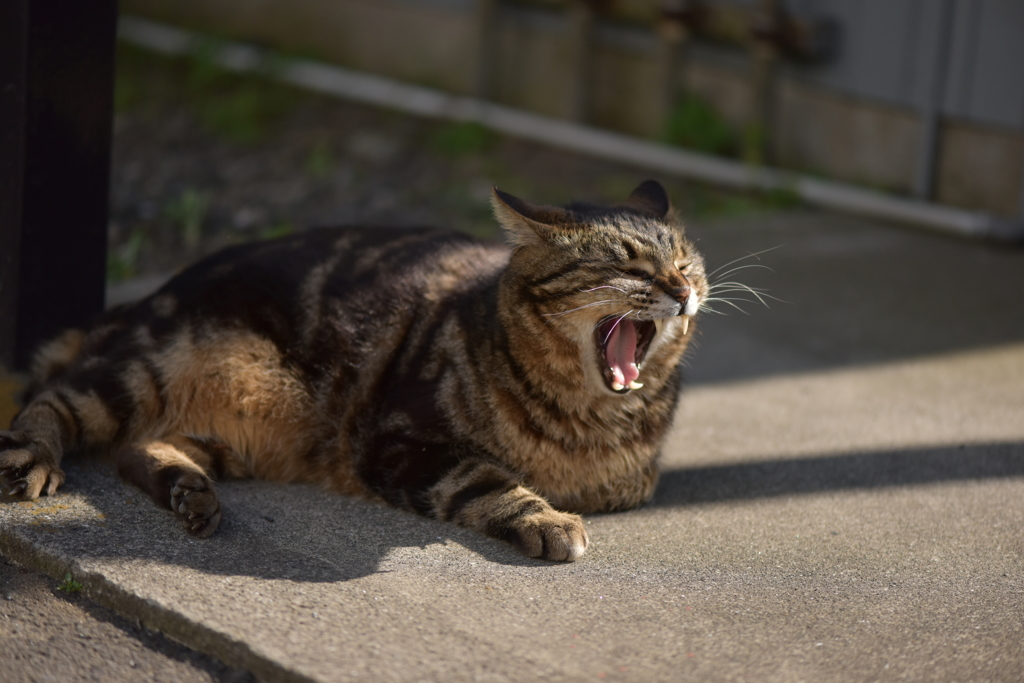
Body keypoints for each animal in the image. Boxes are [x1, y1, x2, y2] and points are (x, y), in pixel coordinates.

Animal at [0, 180, 704, 561]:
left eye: (685, 264)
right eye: (629, 265)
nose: (683, 291)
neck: (587, 418)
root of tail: (134, 303)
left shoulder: (633, 481)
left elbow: (617, 483)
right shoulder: (397, 442)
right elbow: (486, 481)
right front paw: (548, 520)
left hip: (251, 432)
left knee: (137, 449)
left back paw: (190, 493)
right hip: (144, 368)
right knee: (51, 401)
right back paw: (33, 461)